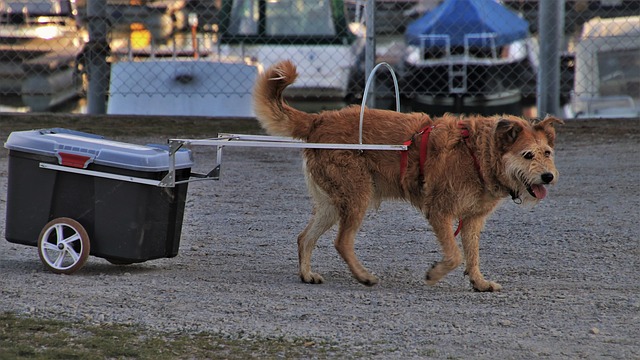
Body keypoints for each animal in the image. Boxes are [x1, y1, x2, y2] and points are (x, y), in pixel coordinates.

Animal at [252, 60, 564, 292]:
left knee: (304, 238)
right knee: (342, 241)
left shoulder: (472, 220)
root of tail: (319, 119)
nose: (548, 177)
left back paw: (307, 274)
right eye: (528, 155)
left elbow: (472, 255)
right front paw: (435, 274)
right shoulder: (439, 211)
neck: (478, 153)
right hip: (357, 196)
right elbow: (454, 255)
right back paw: (363, 276)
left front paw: (479, 282)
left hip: (332, 203)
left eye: (547, 152)